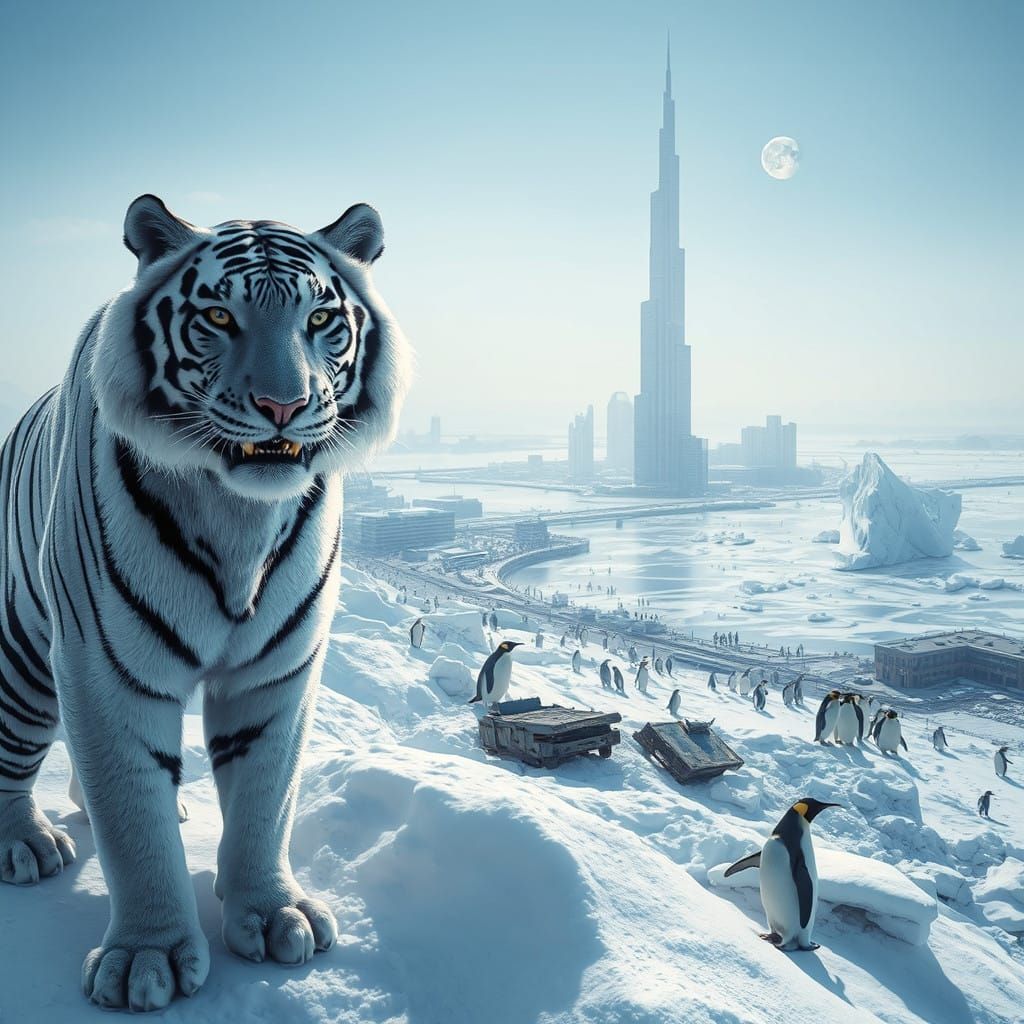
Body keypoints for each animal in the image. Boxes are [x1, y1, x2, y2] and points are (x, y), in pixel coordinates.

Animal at [0, 195, 410, 1010]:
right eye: (219, 317)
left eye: (321, 318)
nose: (282, 405)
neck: (239, 516)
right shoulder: (103, 667)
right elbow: (133, 819)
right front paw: (145, 961)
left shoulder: (278, 672)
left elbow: (265, 797)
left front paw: (276, 916)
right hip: (25, 655)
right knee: (10, 753)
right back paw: (24, 843)